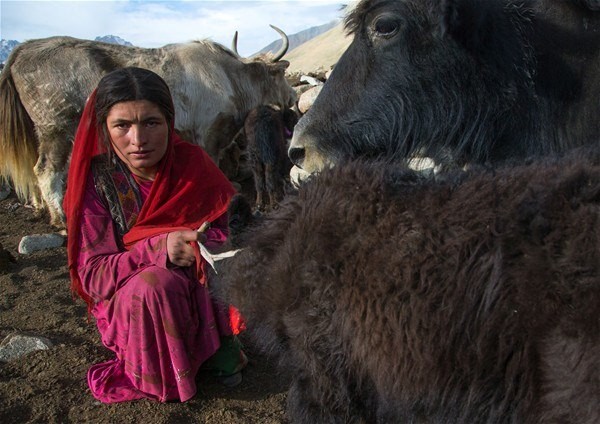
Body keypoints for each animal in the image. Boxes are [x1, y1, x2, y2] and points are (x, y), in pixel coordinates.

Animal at [0, 28, 296, 227]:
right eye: (281, 74)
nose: (293, 96)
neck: (230, 79)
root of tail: (22, 51)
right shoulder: (208, 135)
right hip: (56, 129)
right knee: (45, 171)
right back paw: (61, 220)